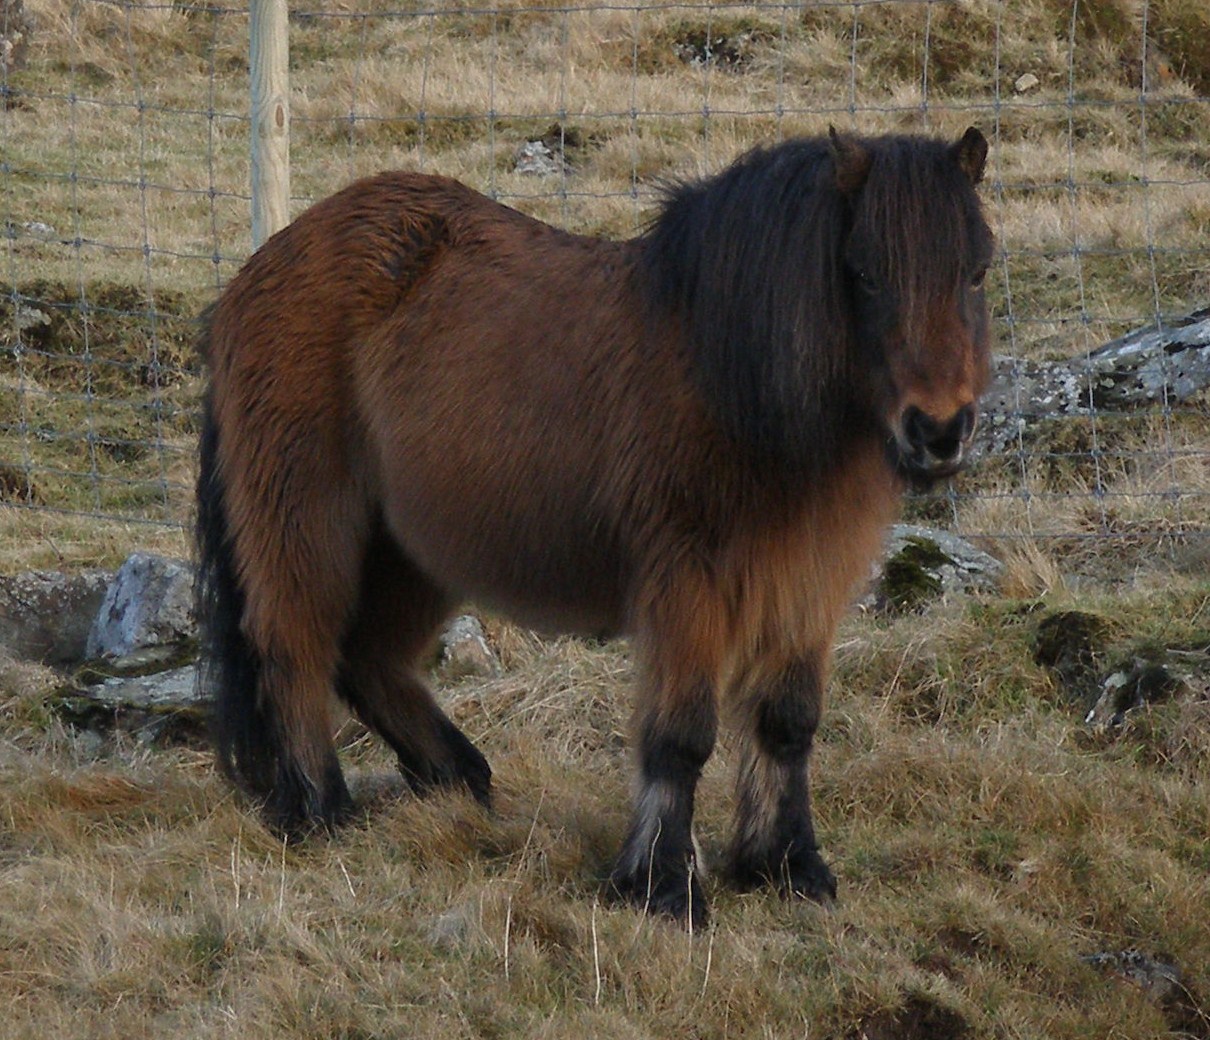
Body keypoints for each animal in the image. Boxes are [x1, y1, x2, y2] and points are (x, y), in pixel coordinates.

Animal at [196, 126, 993, 928]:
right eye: (862, 272)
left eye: (978, 270)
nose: (939, 431)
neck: (728, 376)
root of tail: (257, 271)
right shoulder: (687, 585)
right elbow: (681, 736)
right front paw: (663, 886)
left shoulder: (806, 583)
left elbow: (789, 723)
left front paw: (788, 867)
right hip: (308, 520)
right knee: (295, 646)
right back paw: (320, 811)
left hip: (412, 549)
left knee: (368, 656)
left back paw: (458, 781)